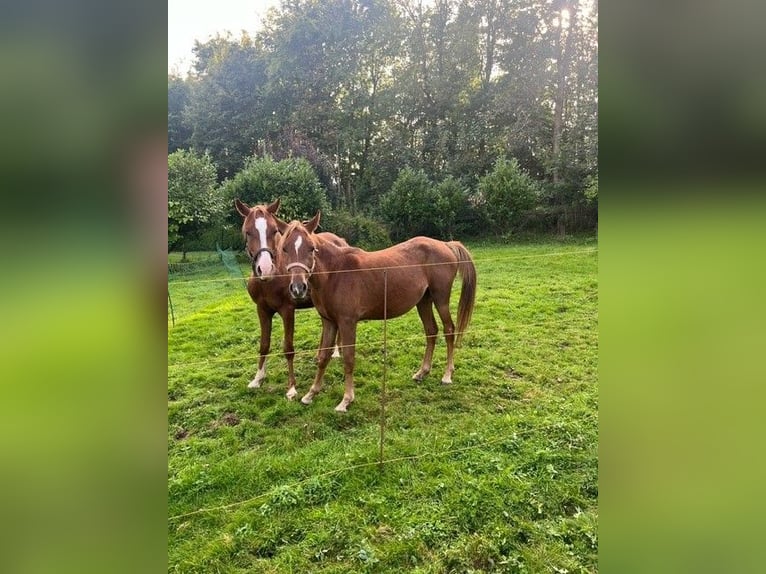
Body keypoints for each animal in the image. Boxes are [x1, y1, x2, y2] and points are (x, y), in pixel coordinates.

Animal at [231, 198, 344, 400]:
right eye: (248, 232)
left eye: (274, 230)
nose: (265, 268)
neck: (272, 278)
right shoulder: (262, 310)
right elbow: (264, 345)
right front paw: (257, 379)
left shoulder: (287, 310)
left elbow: (288, 348)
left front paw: (291, 387)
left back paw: (336, 352)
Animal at [276, 214, 480, 412]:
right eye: (285, 249)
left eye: (312, 248)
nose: (298, 288)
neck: (335, 273)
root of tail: (446, 244)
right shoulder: (329, 321)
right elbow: (323, 357)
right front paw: (311, 394)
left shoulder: (347, 323)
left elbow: (348, 359)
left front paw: (346, 400)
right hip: (424, 301)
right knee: (431, 331)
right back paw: (422, 372)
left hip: (440, 299)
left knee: (449, 330)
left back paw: (447, 375)